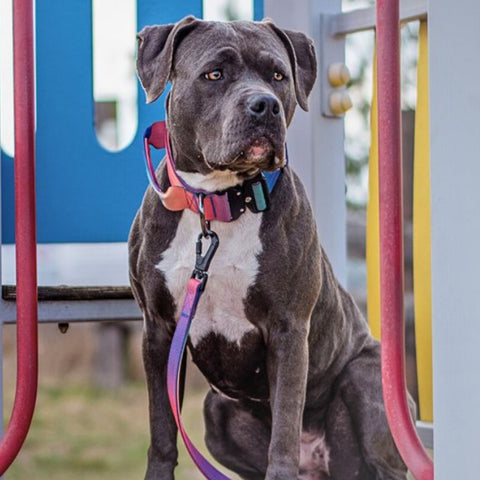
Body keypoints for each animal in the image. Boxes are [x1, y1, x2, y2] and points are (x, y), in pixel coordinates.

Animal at [129, 15, 410, 480]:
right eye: (214, 74)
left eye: (278, 76)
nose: (265, 105)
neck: (220, 205)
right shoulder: (159, 331)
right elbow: (161, 430)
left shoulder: (288, 329)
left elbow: (284, 433)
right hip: (216, 414)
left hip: (364, 382)